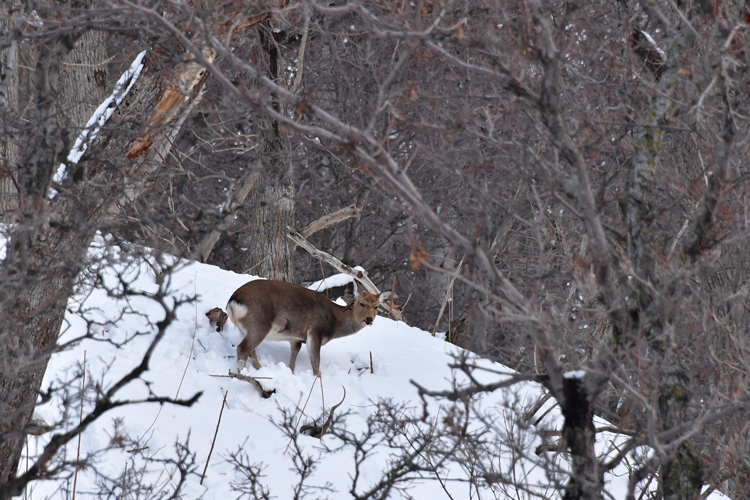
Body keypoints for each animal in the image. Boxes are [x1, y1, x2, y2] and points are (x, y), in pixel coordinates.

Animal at [226, 278, 390, 376]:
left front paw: (290, 373)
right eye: (361, 303)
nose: (369, 319)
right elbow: (316, 364)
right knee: (243, 348)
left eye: (376, 306)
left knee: (251, 351)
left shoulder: (296, 338)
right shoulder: (315, 331)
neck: (334, 322)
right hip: (259, 323)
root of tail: (233, 301)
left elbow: (293, 359)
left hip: (247, 328)